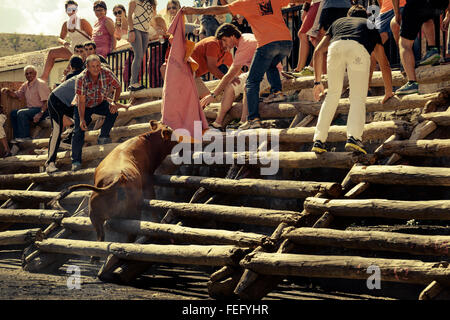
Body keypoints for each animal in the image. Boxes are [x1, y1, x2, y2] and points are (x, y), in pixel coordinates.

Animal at [48, 121, 178, 241]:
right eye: (174, 136)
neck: (147, 143)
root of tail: (119, 178)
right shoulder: (148, 182)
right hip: (132, 213)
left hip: (96, 217)